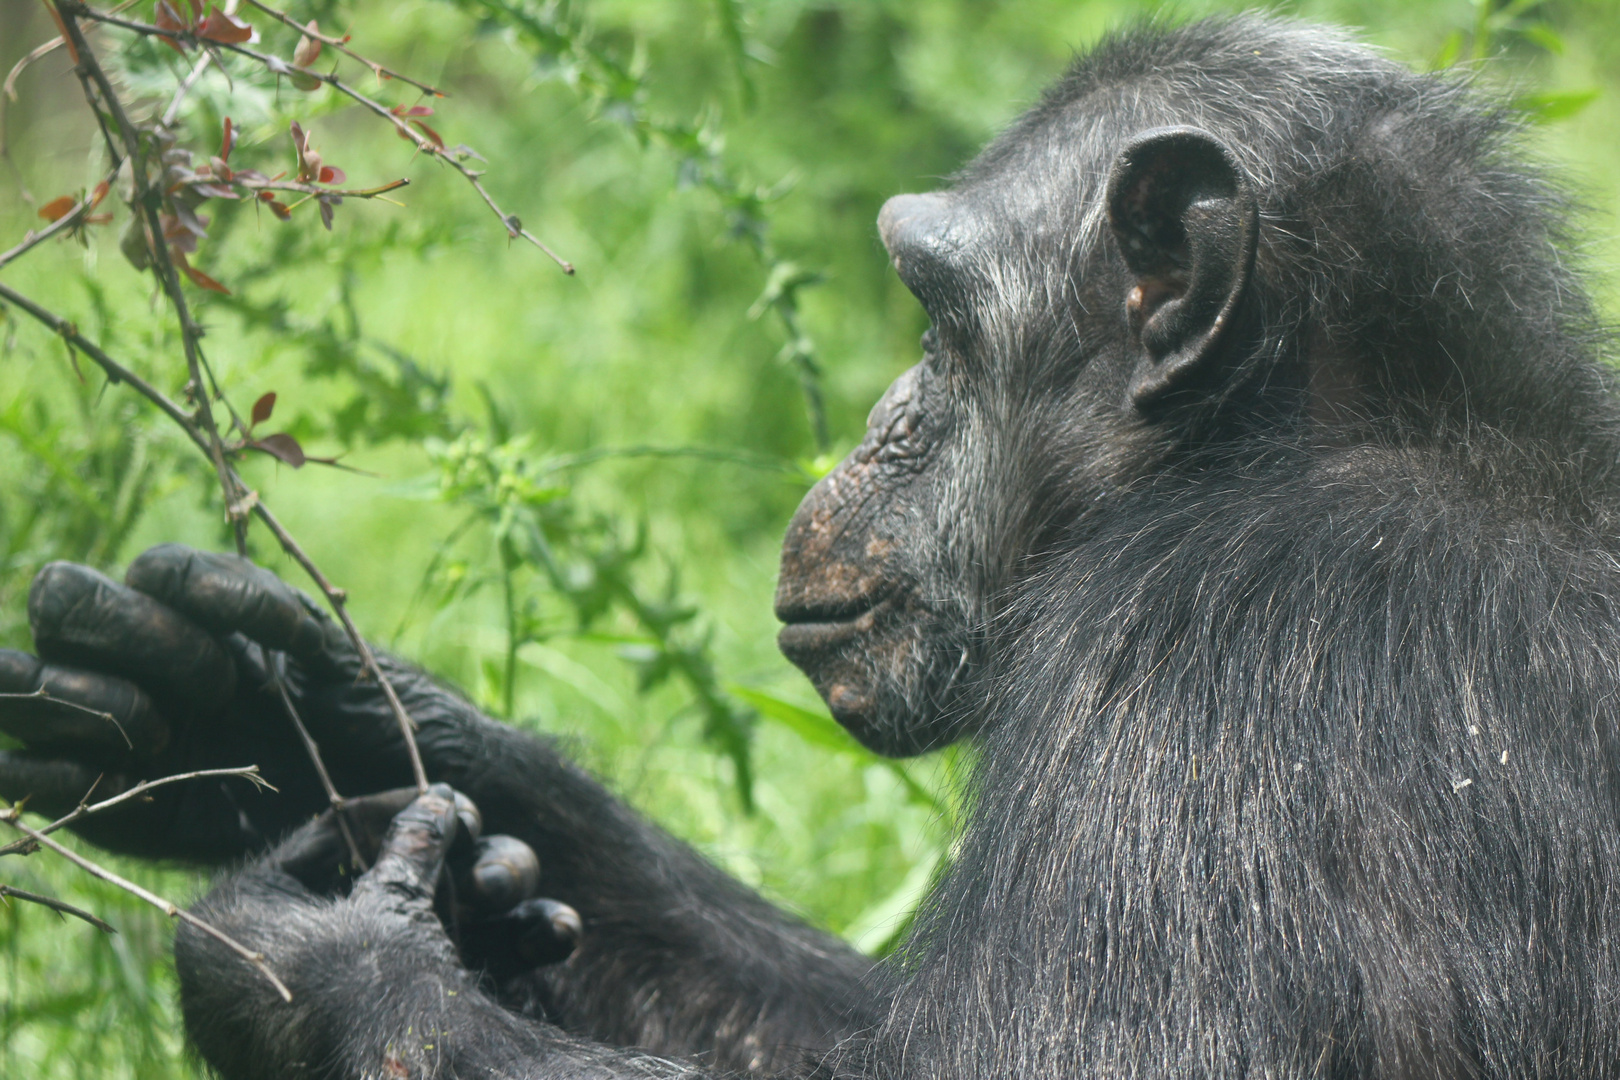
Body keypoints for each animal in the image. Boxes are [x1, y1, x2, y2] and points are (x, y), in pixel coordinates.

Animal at [3, 12, 1620, 1075]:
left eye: (939, 325)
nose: (875, 414)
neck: (1296, 437)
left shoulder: (1201, 675)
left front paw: (314, 968)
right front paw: (276, 719)